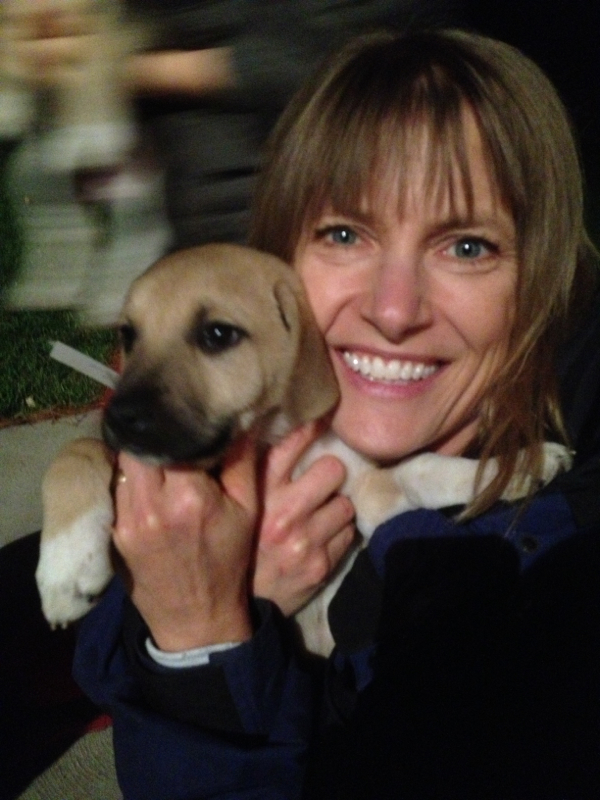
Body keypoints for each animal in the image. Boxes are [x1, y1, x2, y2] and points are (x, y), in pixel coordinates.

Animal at [36, 243, 572, 656]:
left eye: (217, 334)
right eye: (128, 335)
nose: (119, 419)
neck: (264, 441)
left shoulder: (368, 494)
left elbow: (423, 468)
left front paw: (521, 464)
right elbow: (76, 451)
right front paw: (66, 566)